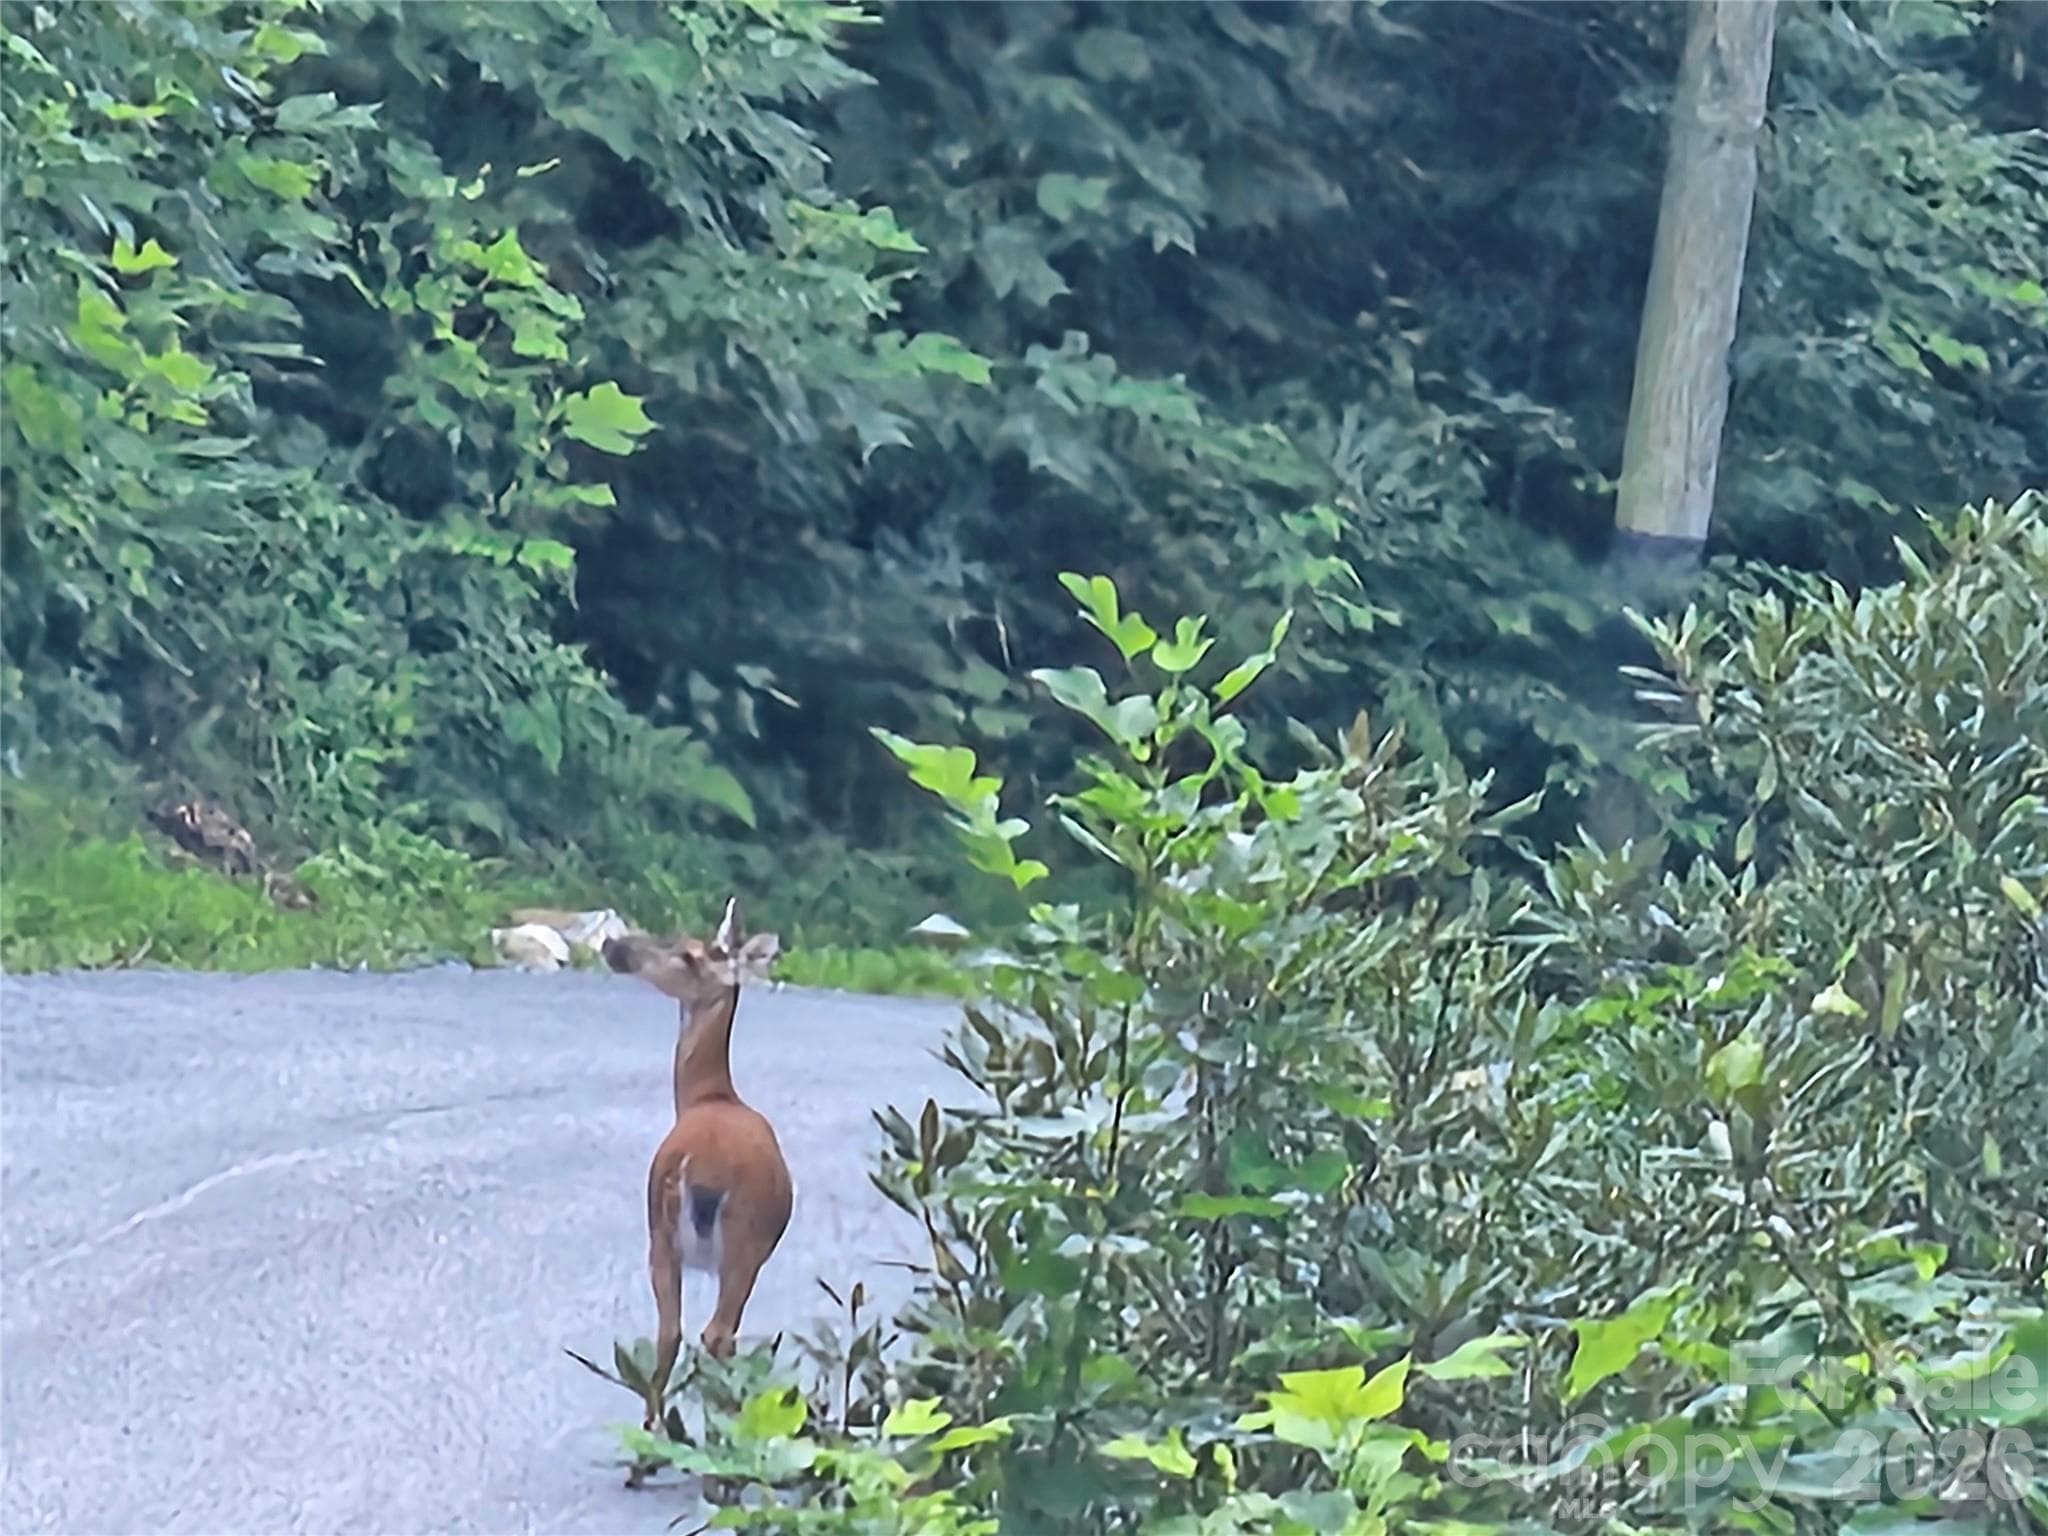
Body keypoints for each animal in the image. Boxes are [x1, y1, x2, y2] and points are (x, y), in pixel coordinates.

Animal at [602, 897, 792, 1433]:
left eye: (687, 953)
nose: (614, 944)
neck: (709, 1096)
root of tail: (703, 1173)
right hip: (734, 1243)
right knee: (711, 1334)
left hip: (678, 1235)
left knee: (676, 1333)